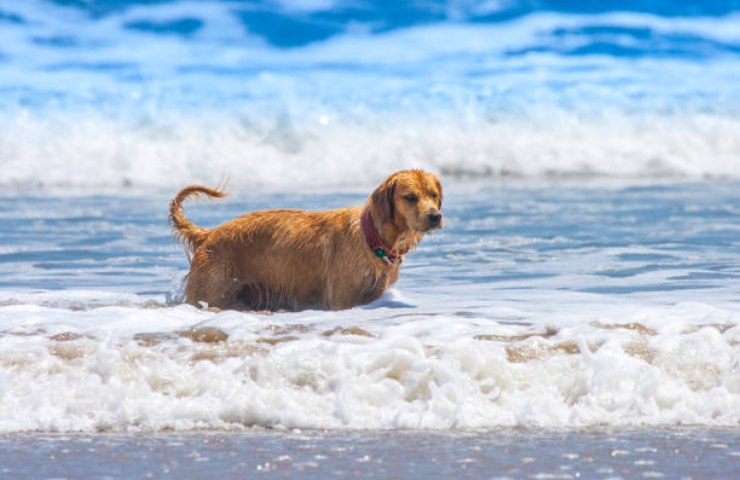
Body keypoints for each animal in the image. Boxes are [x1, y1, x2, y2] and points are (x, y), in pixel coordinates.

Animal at [171, 169, 442, 312]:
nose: (435, 216)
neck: (370, 237)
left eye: (433, 195)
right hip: (210, 290)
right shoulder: (341, 299)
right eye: (410, 197)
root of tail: (208, 234)